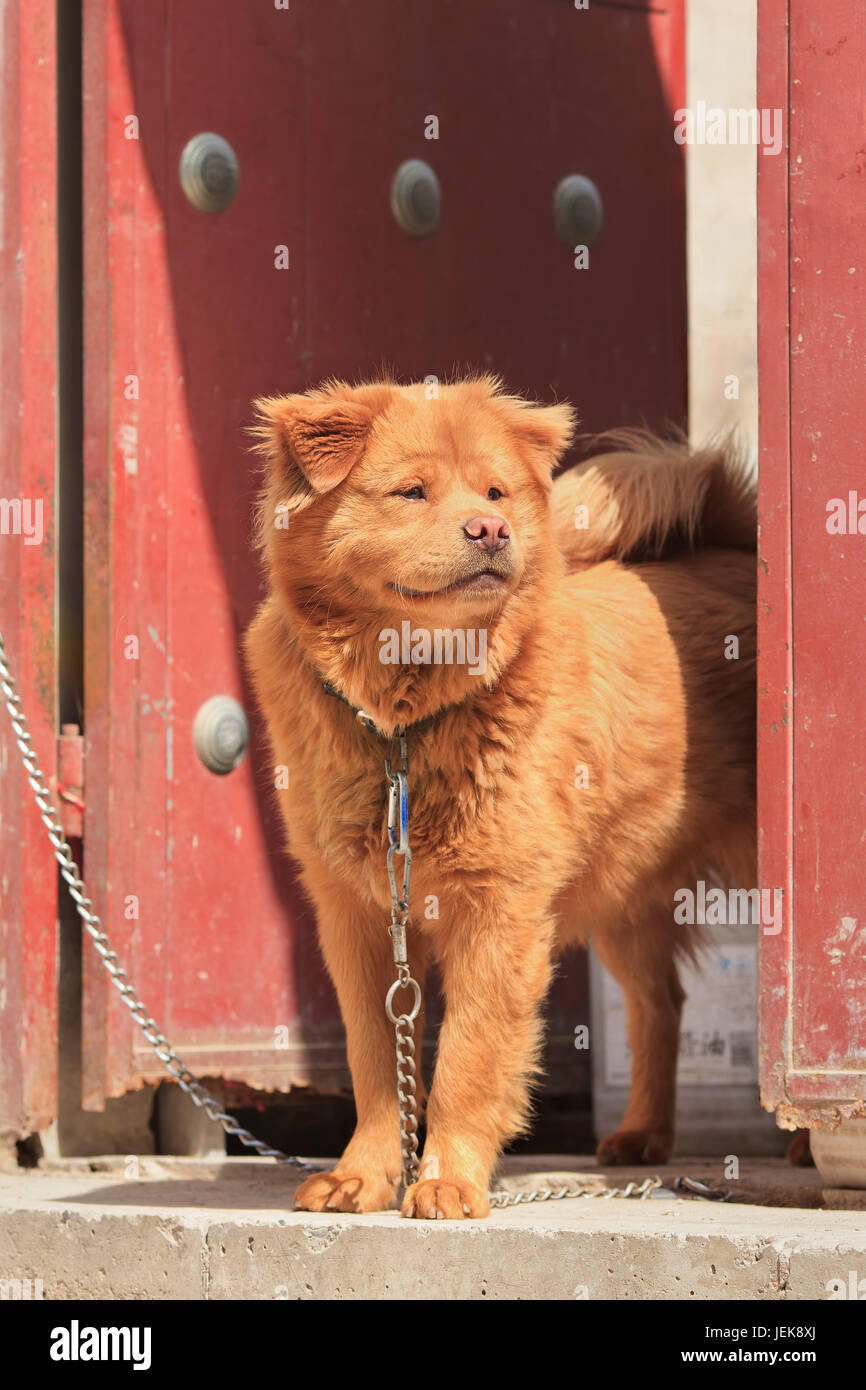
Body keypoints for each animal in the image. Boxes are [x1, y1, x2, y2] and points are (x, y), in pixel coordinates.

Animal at [246, 378, 756, 1217]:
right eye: (412, 492)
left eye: (494, 493)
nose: (490, 529)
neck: (406, 724)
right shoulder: (358, 917)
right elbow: (376, 1063)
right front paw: (365, 1175)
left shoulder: (499, 910)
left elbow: (468, 1058)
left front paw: (446, 1180)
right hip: (627, 901)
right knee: (661, 1006)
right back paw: (642, 1137)